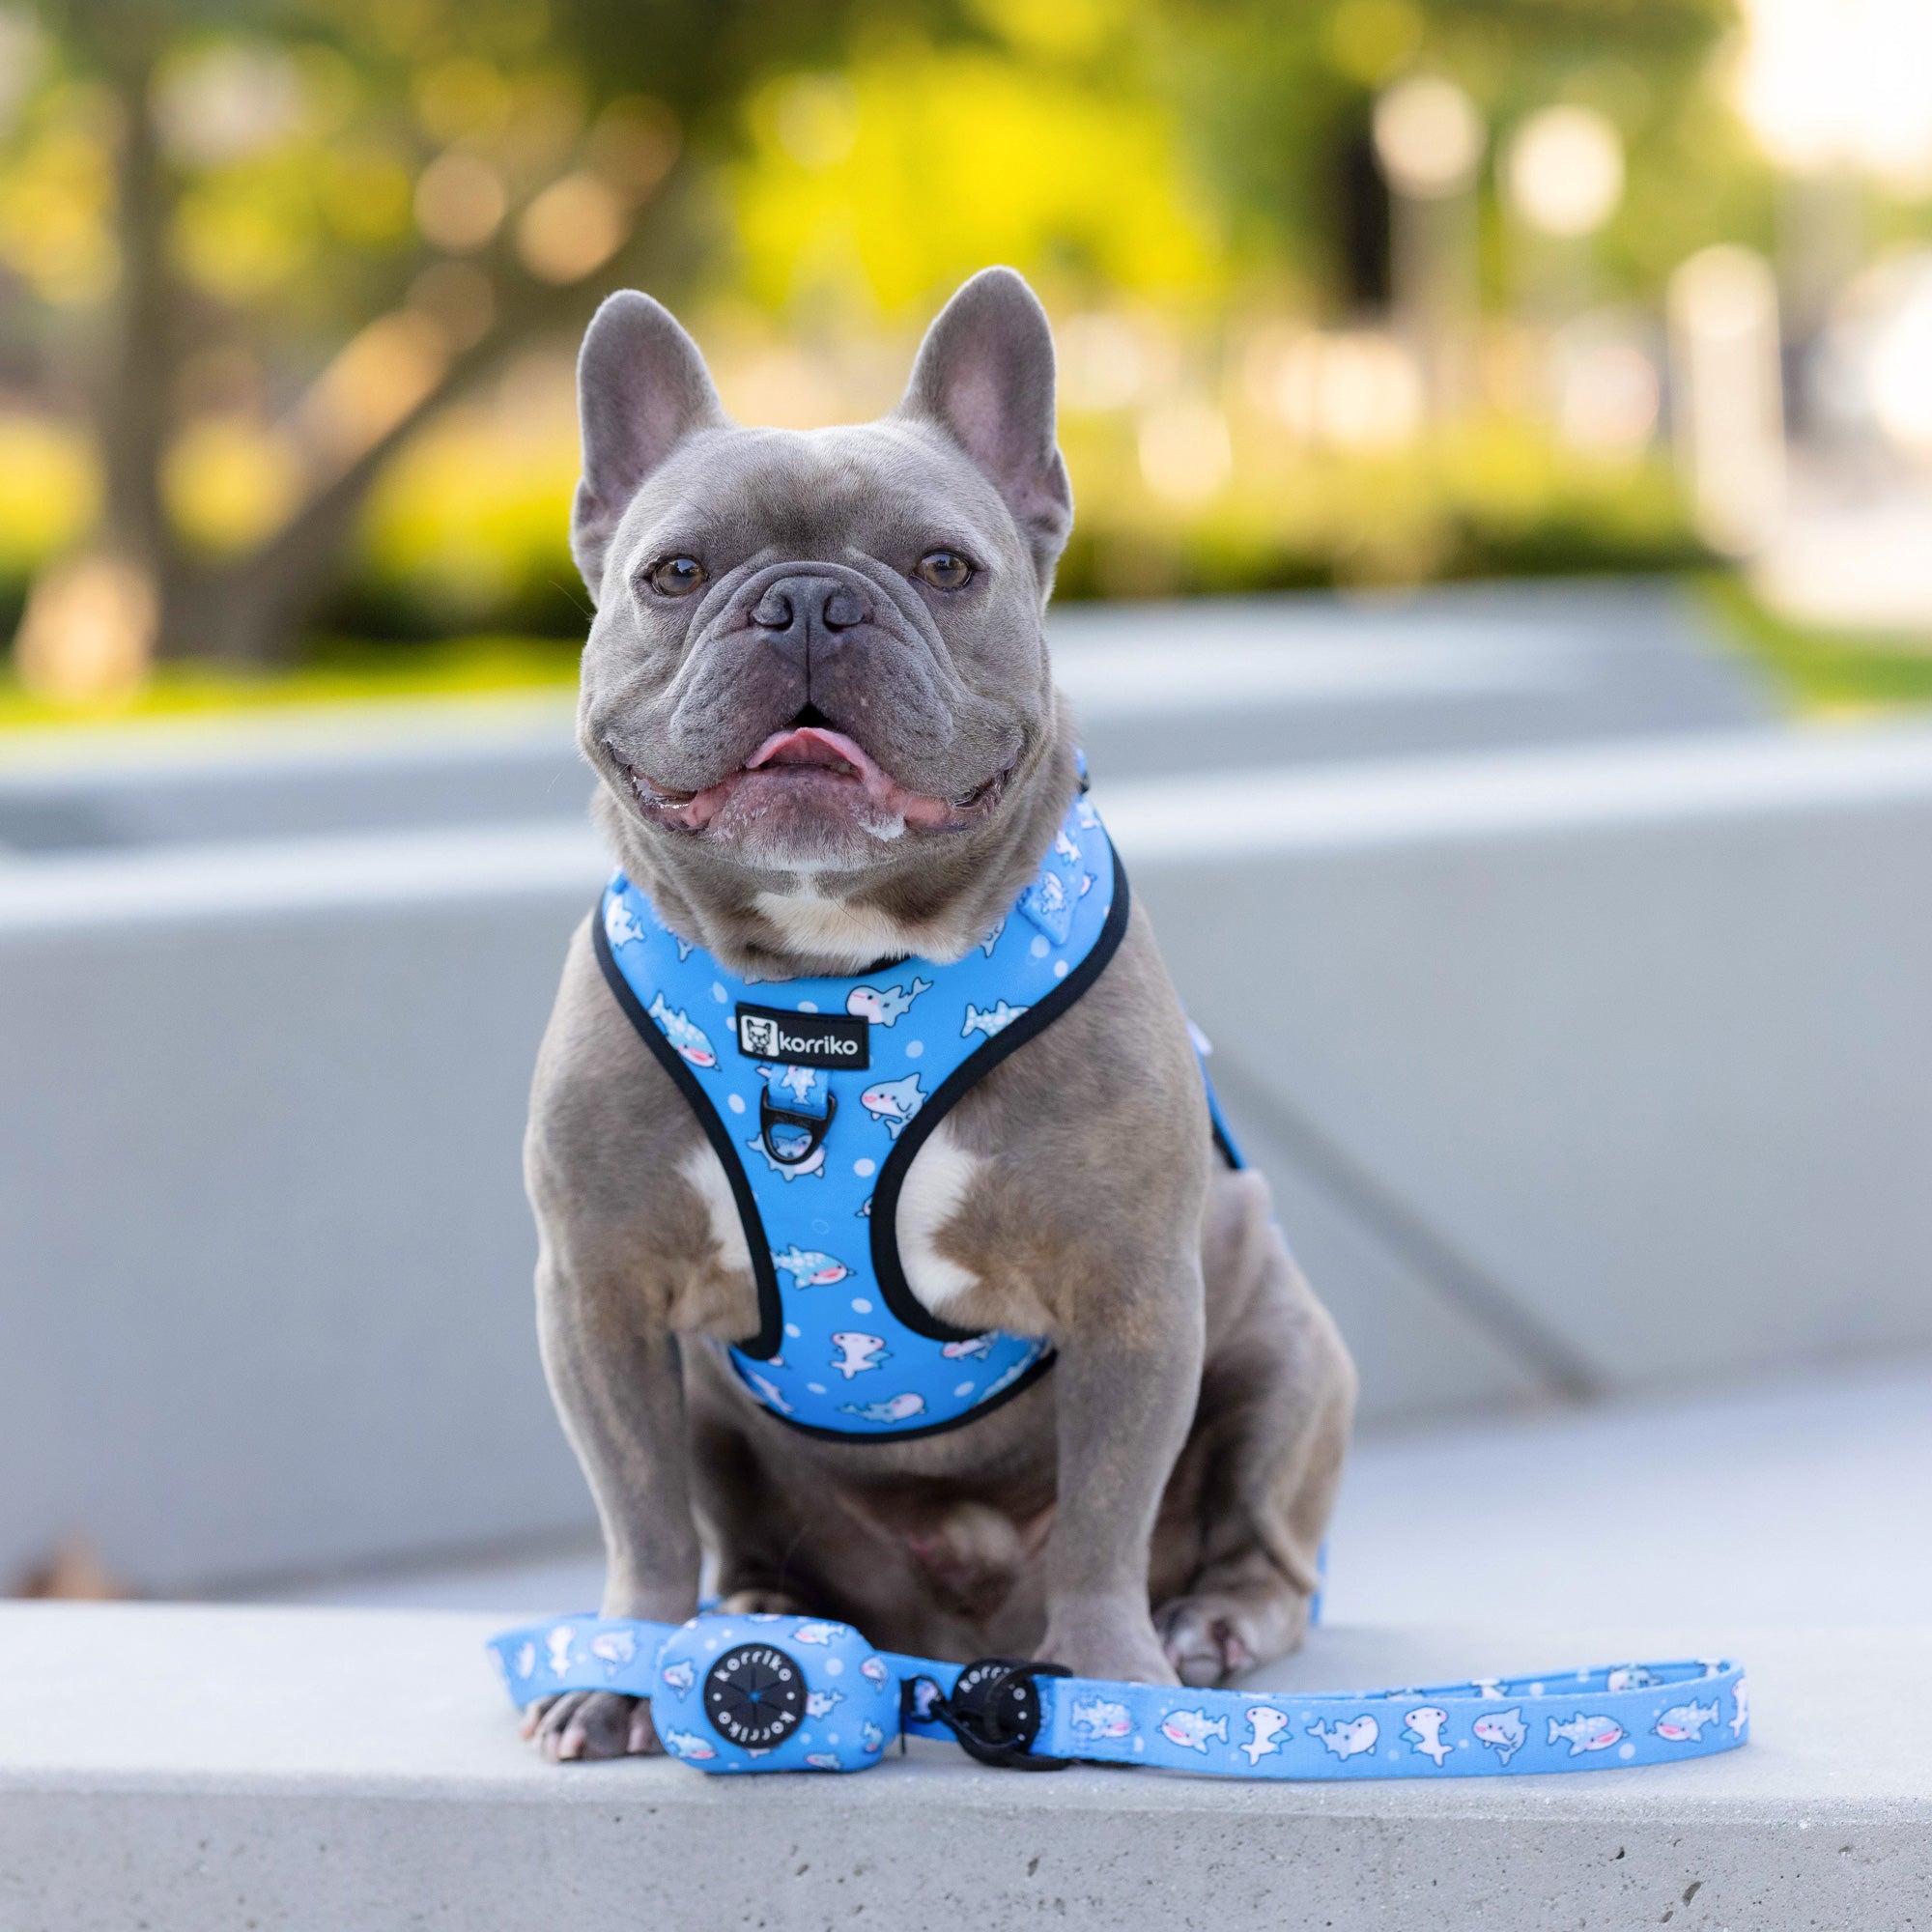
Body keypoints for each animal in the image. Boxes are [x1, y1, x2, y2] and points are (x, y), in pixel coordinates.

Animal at [522, 265, 1352, 1762]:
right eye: (676, 573)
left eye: (944, 568)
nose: (804, 603)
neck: (830, 986)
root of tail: (952, 1639)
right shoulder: (600, 1293)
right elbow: (640, 1515)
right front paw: (625, 1666)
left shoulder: (1134, 1293)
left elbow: (1106, 1512)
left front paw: (1118, 1683)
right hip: (724, 1417)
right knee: (732, 1527)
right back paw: (766, 1619)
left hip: (1282, 1346)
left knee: (1257, 1533)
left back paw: (1206, 1628)